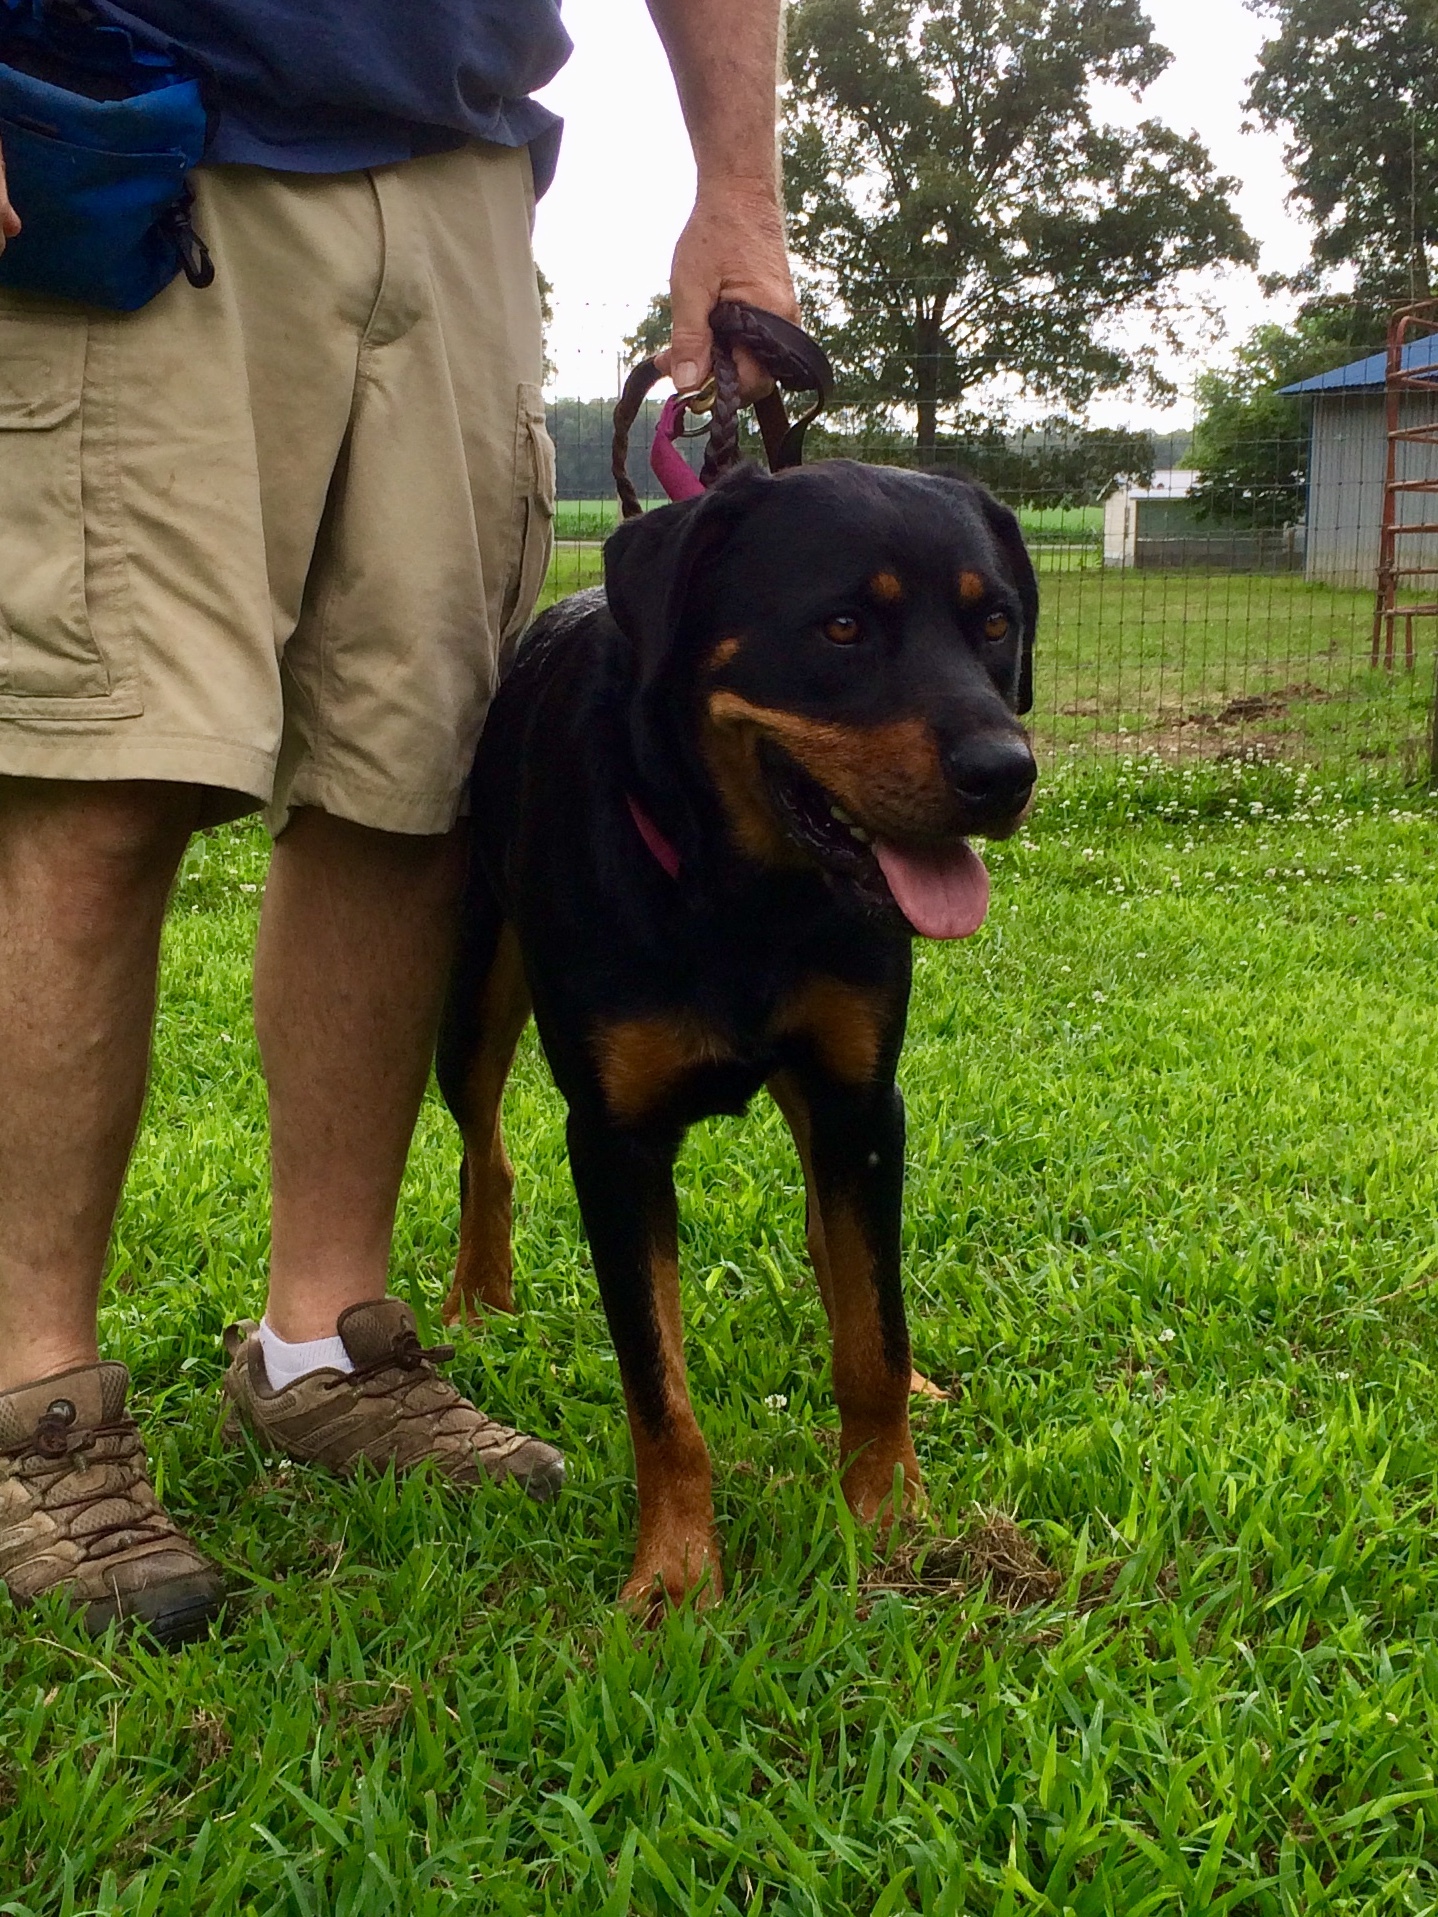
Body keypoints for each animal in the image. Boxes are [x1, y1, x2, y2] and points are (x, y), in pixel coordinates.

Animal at [439, 456, 1035, 1610]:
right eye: (842, 626)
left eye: (995, 623)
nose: (1005, 770)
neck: (744, 896)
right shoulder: (614, 1142)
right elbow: (658, 1392)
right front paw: (675, 1578)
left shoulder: (861, 1100)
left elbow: (870, 1331)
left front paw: (886, 1511)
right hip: (471, 996)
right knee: (483, 1147)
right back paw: (475, 1304)